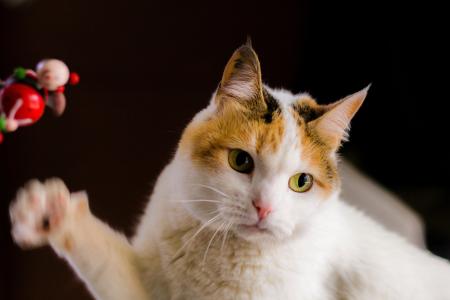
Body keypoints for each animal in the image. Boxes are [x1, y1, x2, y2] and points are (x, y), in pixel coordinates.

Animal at [8, 42, 450, 300]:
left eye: (301, 182)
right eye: (241, 161)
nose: (264, 208)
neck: (219, 252)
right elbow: (105, 260)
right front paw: (51, 214)